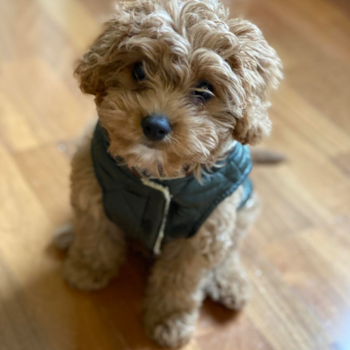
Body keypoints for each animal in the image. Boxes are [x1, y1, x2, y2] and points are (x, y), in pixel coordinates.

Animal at [62, 0, 282, 348]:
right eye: (139, 70)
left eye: (205, 90)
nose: (155, 124)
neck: (161, 178)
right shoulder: (91, 185)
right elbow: (95, 234)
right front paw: (85, 268)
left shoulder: (205, 231)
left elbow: (180, 282)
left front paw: (170, 320)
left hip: (244, 209)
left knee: (231, 250)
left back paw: (230, 281)